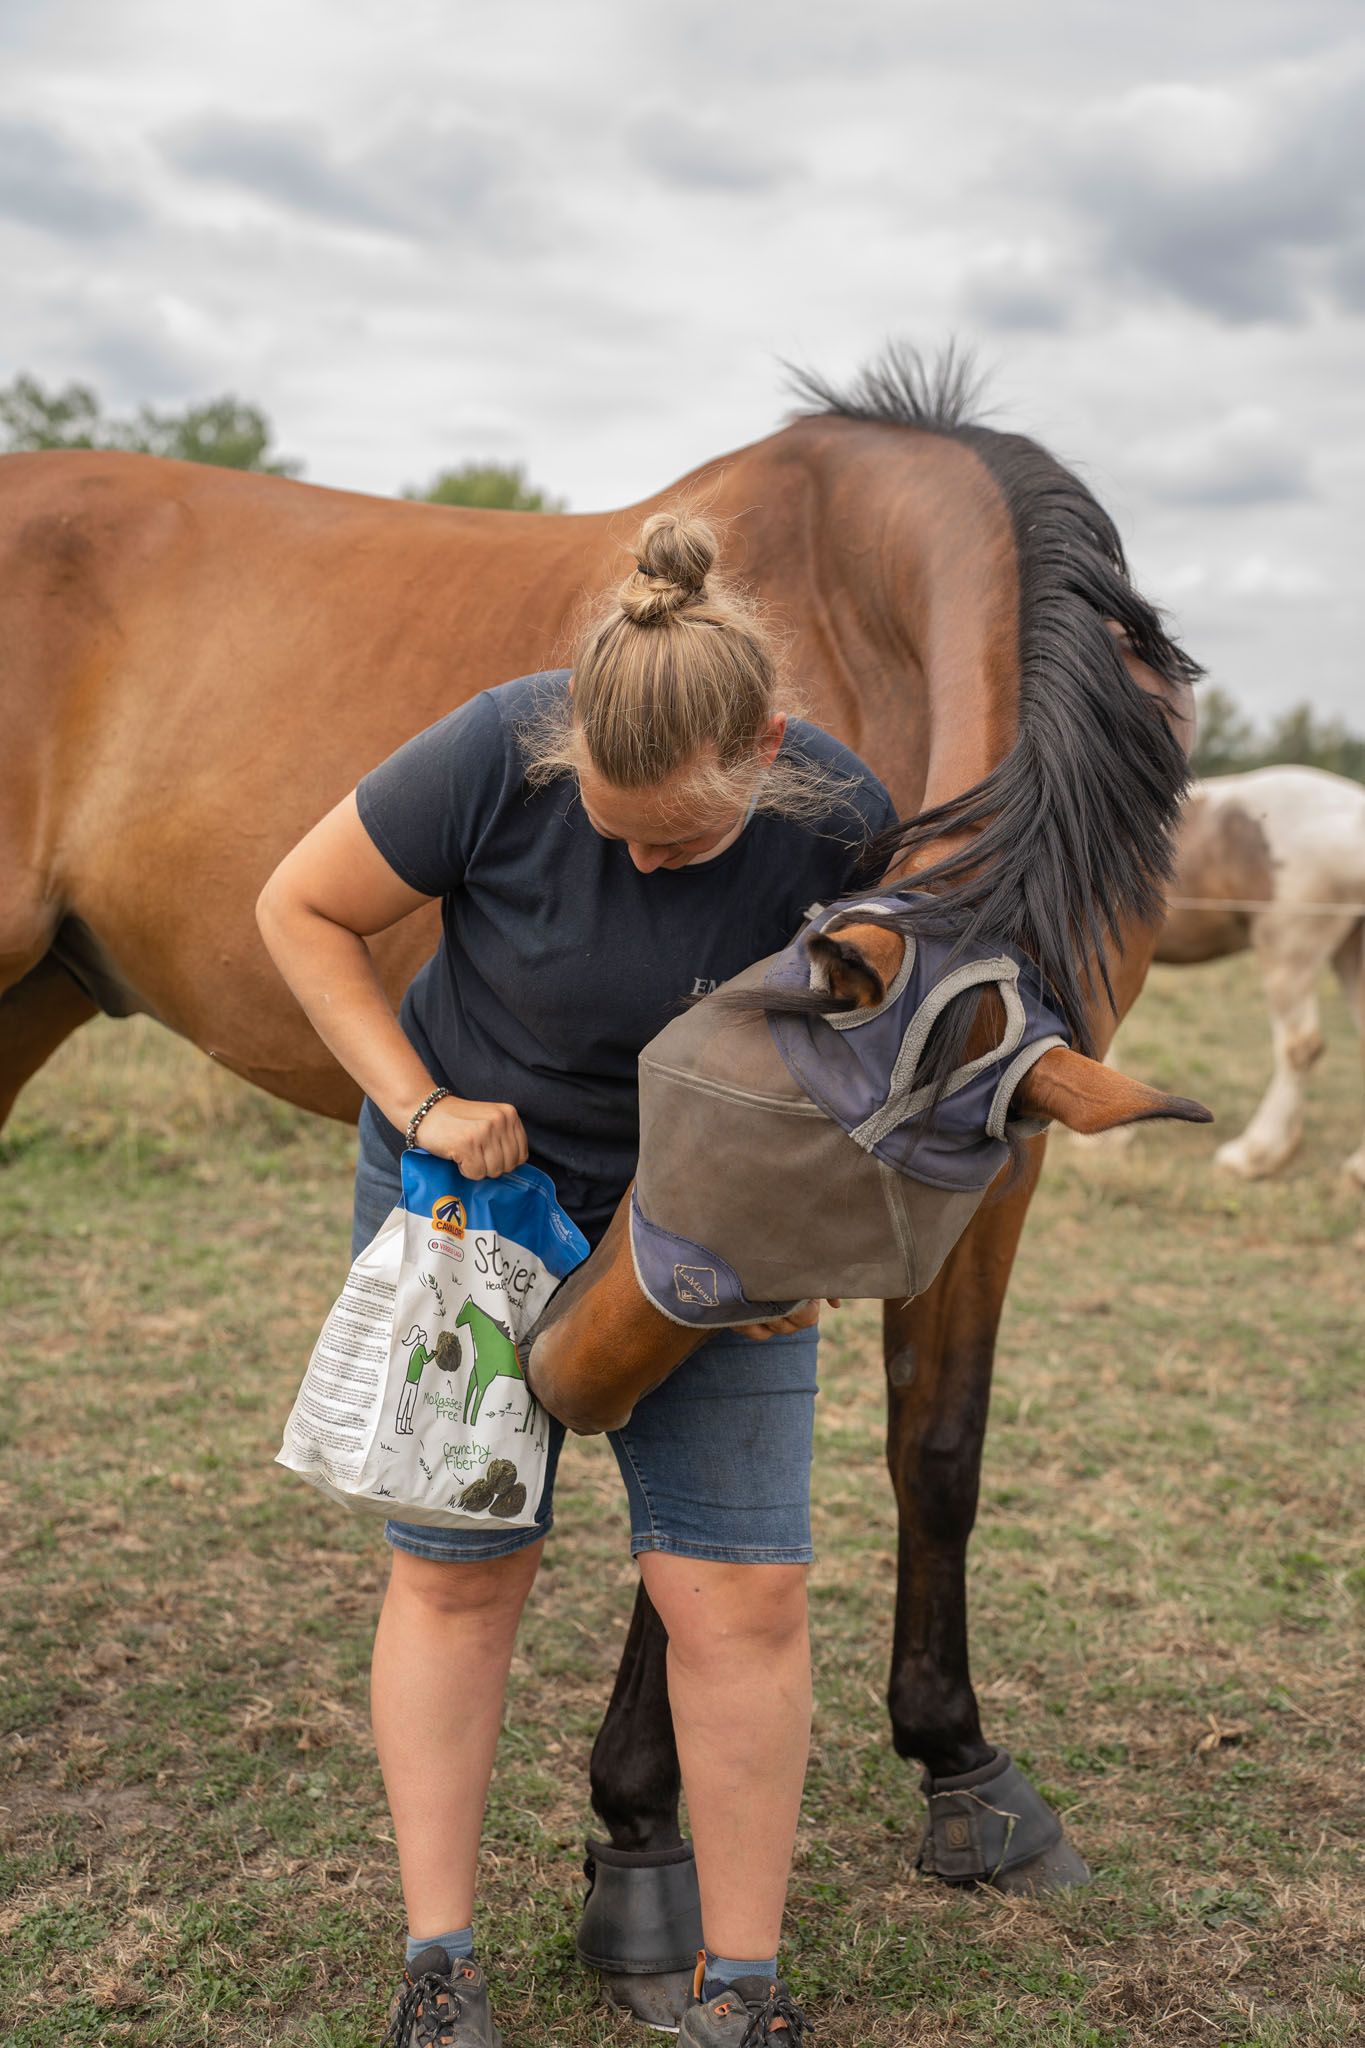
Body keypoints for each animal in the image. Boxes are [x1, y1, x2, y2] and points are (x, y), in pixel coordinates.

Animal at [0, 347, 1201, 2026]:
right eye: (679, 1109)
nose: (563, 1371)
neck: (864, 616)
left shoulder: (1004, 1167)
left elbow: (935, 1453)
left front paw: (963, 1765)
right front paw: (638, 1843)